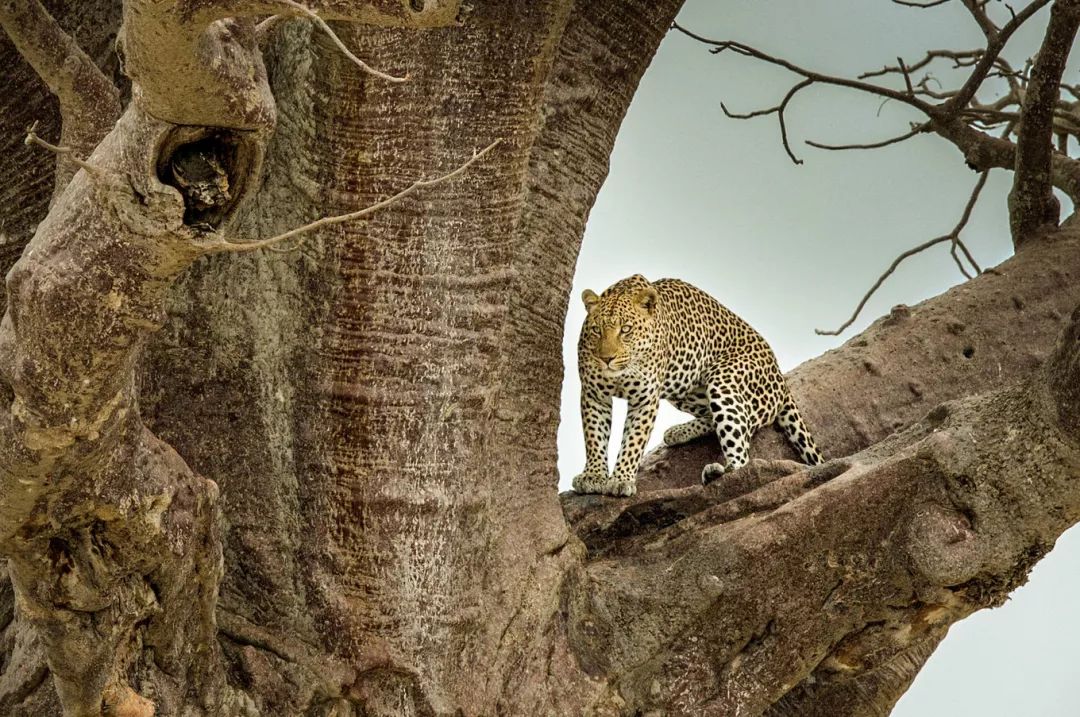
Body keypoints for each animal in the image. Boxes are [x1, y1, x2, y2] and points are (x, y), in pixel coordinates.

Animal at [574, 274, 816, 498]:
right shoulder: (593, 394)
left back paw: (718, 471)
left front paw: (621, 479)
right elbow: (595, 435)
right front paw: (593, 476)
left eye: (626, 329)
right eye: (596, 330)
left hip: (723, 379)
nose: (607, 358)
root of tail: (780, 374)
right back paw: (678, 432)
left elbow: (633, 440)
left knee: (743, 451)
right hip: (685, 388)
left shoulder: (645, 398)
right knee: (724, 417)